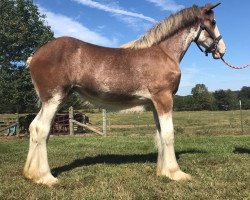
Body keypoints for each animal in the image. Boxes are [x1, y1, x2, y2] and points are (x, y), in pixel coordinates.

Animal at [24, 3, 226, 185]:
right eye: (213, 22)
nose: (222, 50)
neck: (164, 53)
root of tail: (35, 56)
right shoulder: (164, 98)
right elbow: (169, 134)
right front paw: (176, 173)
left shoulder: (154, 103)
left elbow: (160, 135)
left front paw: (163, 172)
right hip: (54, 99)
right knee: (42, 130)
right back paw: (46, 177)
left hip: (50, 101)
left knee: (34, 128)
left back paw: (31, 174)